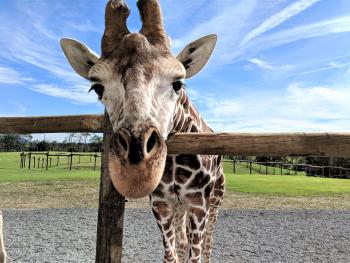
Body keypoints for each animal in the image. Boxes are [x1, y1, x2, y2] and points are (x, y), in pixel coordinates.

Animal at [60, 1, 224, 262]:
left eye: (178, 83)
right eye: (98, 88)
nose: (137, 174)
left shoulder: (199, 203)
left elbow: (195, 255)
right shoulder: (161, 203)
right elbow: (171, 254)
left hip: (216, 199)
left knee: (208, 242)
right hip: (180, 207)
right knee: (182, 242)